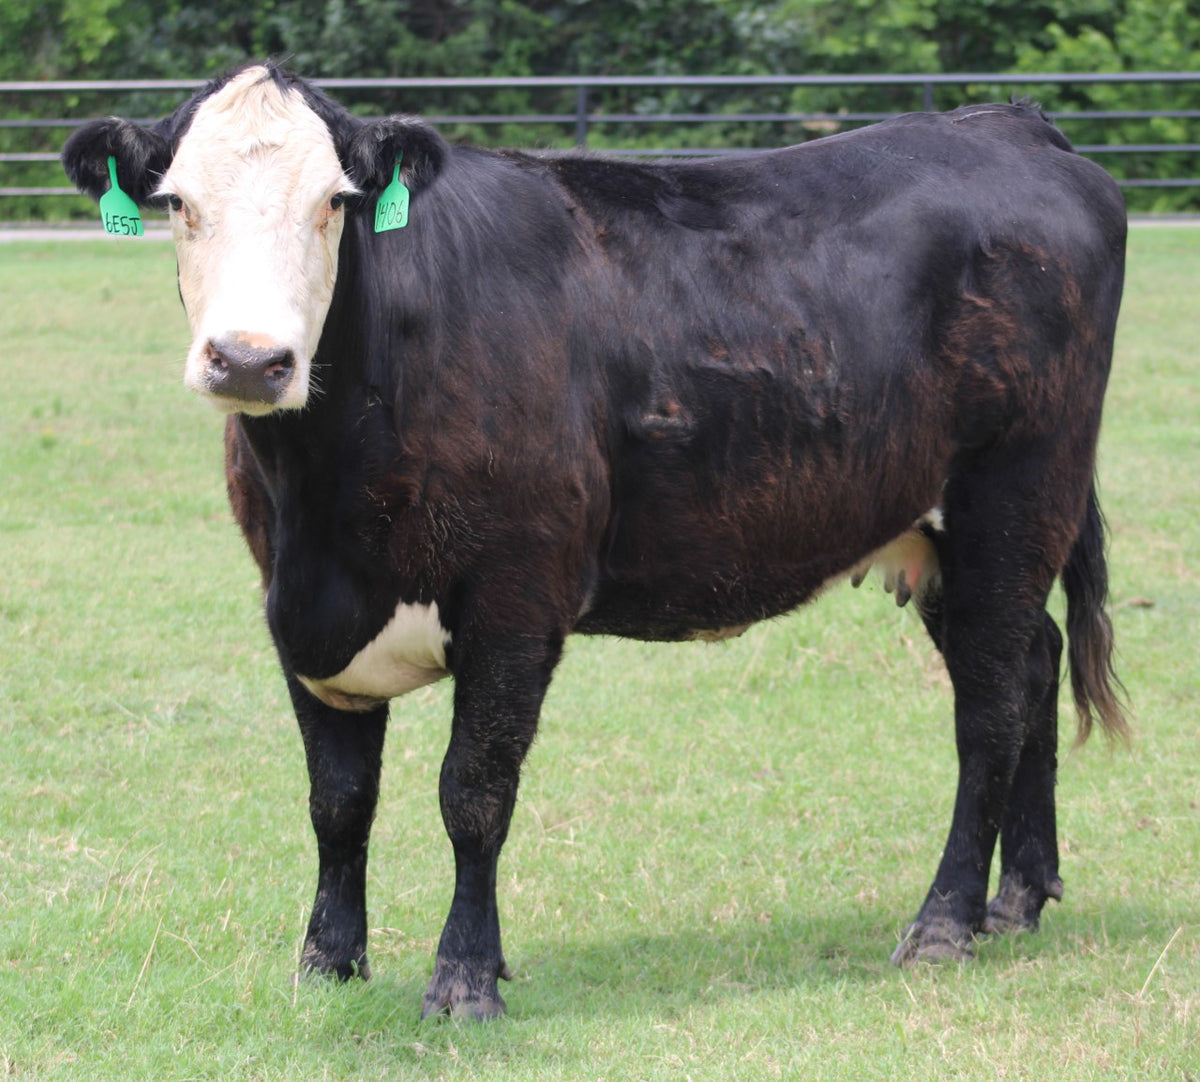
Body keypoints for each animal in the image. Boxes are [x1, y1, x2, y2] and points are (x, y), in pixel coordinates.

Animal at [62, 62, 1128, 1020]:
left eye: (335, 202)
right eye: (177, 202)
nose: (250, 360)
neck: (326, 499)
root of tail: (1010, 125)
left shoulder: (515, 596)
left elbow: (473, 793)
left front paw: (463, 979)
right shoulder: (299, 609)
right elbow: (338, 799)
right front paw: (327, 964)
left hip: (1014, 496)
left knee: (987, 711)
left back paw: (945, 922)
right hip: (947, 535)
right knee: (1032, 664)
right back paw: (1017, 898)